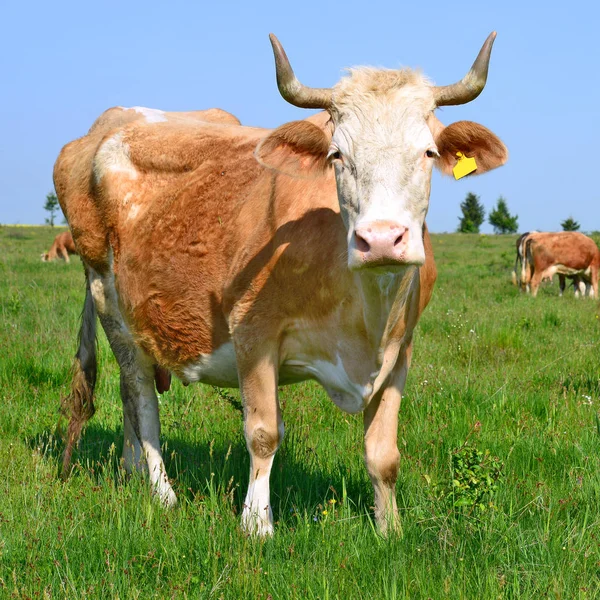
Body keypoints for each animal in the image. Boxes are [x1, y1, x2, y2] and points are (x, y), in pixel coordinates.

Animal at [55, 31, 506, 536]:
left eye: (428, 152)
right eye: (337, 155)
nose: (381, 239)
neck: (365, 315)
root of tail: (111, 122)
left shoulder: (400, 350)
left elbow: (383, 455)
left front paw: (389, 530)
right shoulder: (254, 334)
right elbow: (264, 433)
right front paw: (256, 524)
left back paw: (132, 470)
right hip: (108, 296)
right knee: (139, 395)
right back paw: (162, 491)